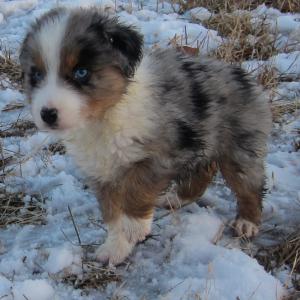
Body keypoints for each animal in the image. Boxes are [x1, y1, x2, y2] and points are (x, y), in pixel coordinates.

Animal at [18, 7, 272, 264]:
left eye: (81, 72)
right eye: (36, 75)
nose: (48, 114)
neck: (106, 116)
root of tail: (239, 73)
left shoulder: (159, 157)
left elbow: (136, 190)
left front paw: (133, 227)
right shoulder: (102, 171)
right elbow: (111, 212)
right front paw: (115, 247)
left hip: (240, 146)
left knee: (248, 185)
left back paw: (247, 222)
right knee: (203, 172)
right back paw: (175, 199)